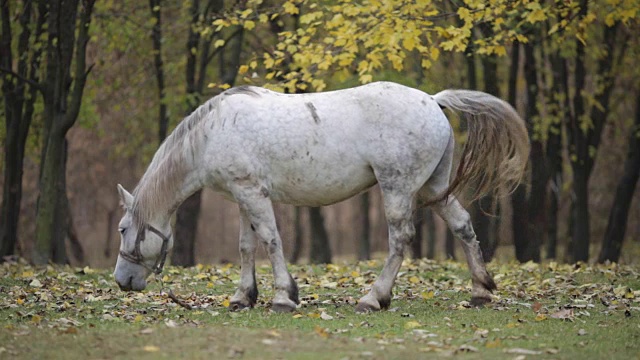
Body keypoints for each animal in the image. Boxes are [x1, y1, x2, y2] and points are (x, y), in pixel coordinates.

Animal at [112, 81, 528, 312]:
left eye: (122, 229)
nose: (121, 282)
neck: (214, 132)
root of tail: (432, 99)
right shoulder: (243, 197)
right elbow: (247, 247)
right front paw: (243, 297)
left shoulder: (253, 194)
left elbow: (271, 241)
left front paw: (283, 297)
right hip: (434, 190)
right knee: (463, 226)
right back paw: (480, 291)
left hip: (398, 188)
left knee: (400, 239)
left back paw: (373, 298)